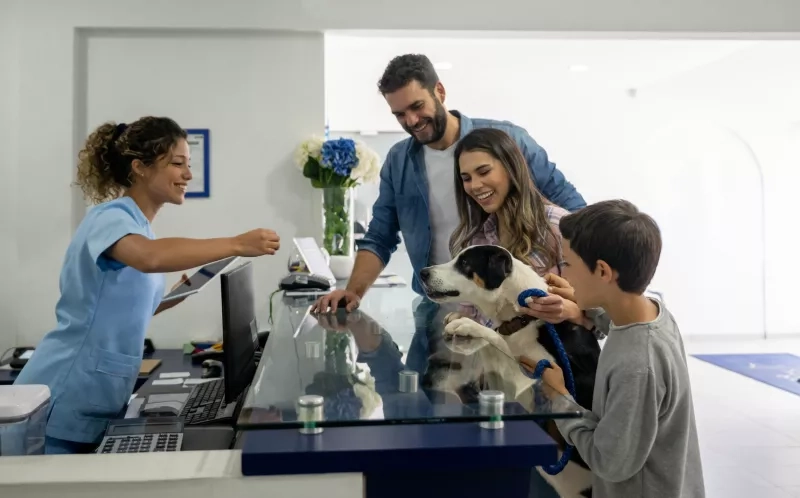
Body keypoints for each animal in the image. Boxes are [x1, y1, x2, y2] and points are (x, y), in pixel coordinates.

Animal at [418, 245, 600, 498]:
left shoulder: (531, 382)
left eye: (464, 263)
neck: (524, 316)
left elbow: (497, 339)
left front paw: (468, 324)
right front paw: (460, 317)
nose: (423, 273)